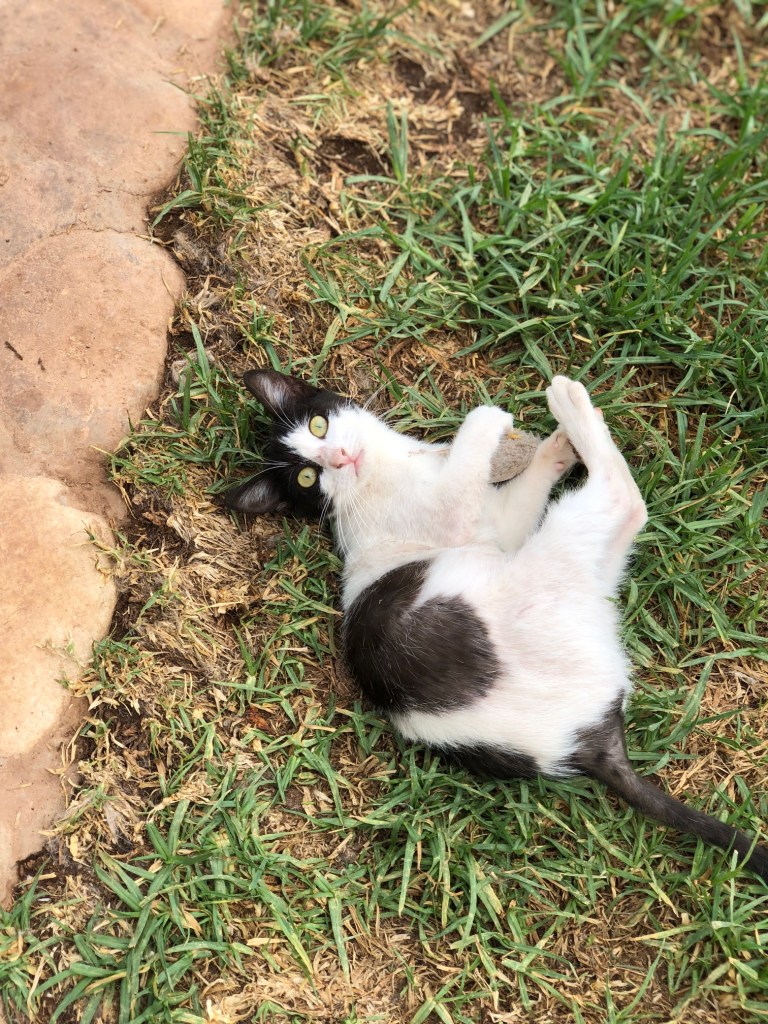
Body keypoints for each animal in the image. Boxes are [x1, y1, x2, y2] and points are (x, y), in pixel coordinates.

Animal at [223, 368, 768, 882]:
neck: (390, 467)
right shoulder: (452, 516)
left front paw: (552, 452)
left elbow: (512, 501)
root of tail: (592, 740)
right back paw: (569, 400)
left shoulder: (498, 526)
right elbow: (468, 455)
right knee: (626, 501)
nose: (338, 458)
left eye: (319, 425)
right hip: (547, 575)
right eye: (307, 479)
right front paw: (489, 419)